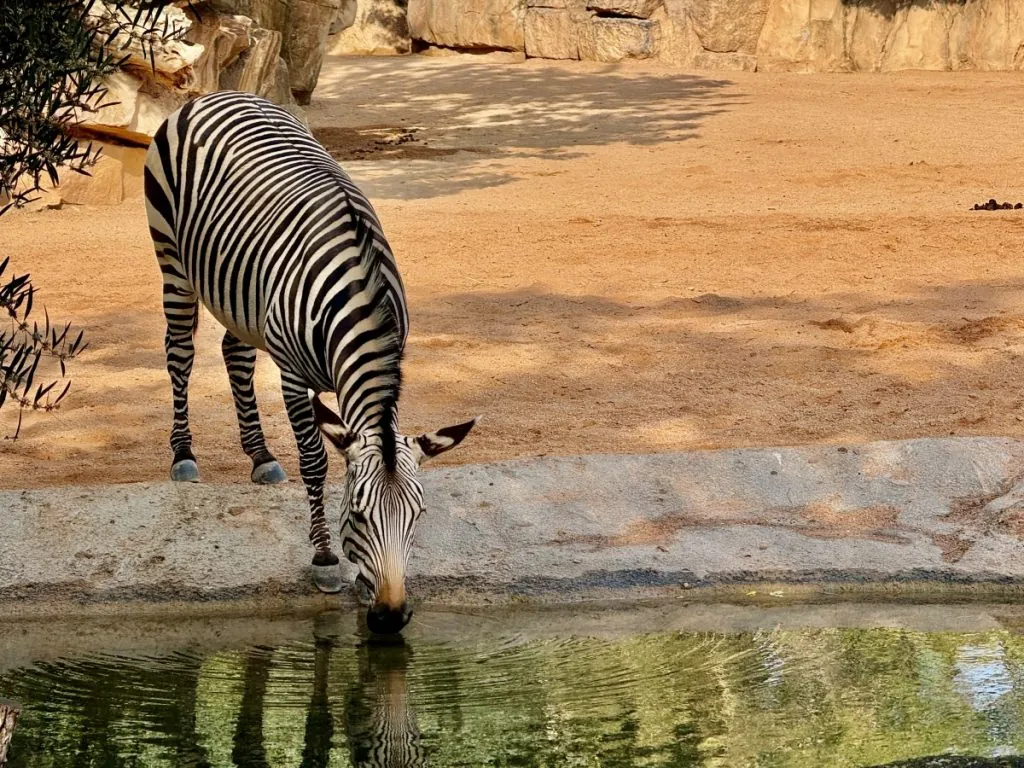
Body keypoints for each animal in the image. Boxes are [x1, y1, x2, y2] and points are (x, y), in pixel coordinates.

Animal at [144, 90, 477, 634]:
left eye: (419, 516)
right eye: (358, 515)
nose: (390, 618)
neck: (360, 299)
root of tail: (221, 94)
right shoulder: (293, 376)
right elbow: (316, 460)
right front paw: (324, 561)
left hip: (243, 300)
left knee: (234, 353)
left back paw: (260, 457)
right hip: (171, 257)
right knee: (180, 354)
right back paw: (183, 455)